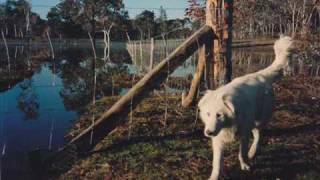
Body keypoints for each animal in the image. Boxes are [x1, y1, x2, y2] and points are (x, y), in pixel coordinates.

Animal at [199, 35, 294, 179]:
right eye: (208, 114)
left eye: (219, 115)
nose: (208, 132)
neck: (230, 122)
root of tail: (261, 75)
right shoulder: (218, 140)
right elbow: (217, 162)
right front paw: (214, 176)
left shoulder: (244, 134)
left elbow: (241, 152)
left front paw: (244, 165)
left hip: (259, 120)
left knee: (258, 135)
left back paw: (252, 151)